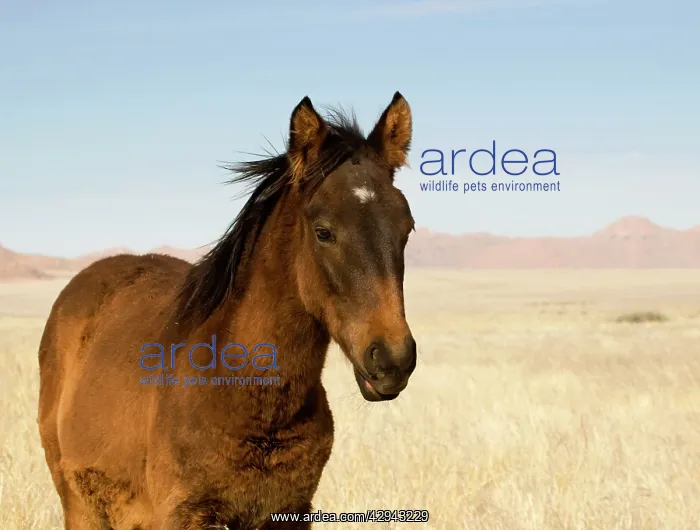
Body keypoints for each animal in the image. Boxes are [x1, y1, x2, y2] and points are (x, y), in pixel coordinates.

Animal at [37, 92, 418, 529]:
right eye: (324, 232)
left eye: (406, 228)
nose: (392, 359)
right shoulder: (183, 515)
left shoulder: (290, 511)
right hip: (79, 504)